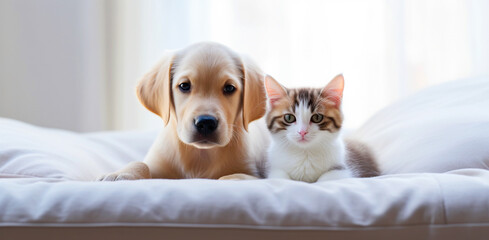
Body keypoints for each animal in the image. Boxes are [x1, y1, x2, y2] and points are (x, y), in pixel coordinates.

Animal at [97, 42, 268, 181]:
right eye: (184, 85)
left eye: (229, 88)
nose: (206, 123)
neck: (201, 156)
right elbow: (141, 163)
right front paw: (119, 174)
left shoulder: (253, 173)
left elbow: (235, 177)